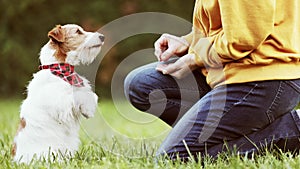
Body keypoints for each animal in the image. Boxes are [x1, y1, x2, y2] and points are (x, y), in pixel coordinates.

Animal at [11, 24, 104, 164]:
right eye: (78, 31)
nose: (102, 37)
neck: (60, 71)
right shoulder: (60, 104)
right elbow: (80, 95)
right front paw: (88, 108)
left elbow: (90, 94)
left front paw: (88, 109)